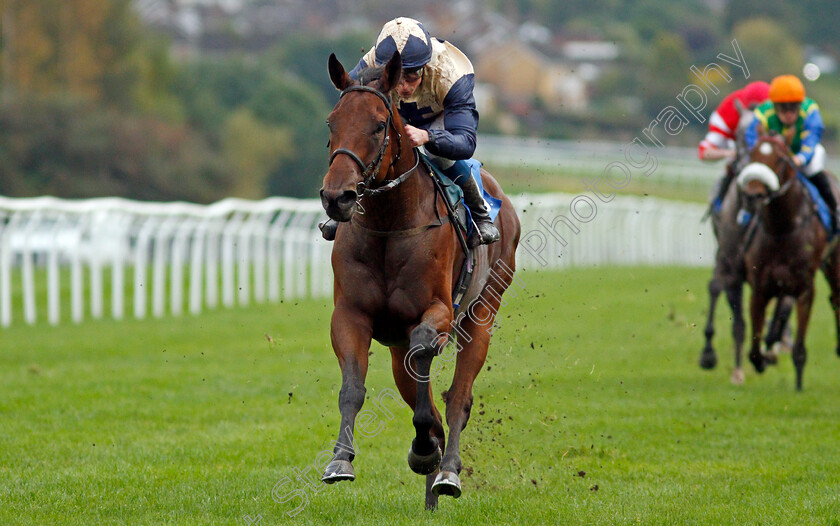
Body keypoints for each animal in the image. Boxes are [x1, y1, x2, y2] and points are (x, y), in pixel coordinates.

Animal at [318, 51, 520, 510]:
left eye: (379, 124)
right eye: (332, 123)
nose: (336, 197)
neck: (390, 224)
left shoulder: (438, 311)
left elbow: (427, 363)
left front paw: (427, 450)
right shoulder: (351, 315)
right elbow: (352, 387)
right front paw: (340, 460)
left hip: (483, 314)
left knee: (458, 398)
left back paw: (446, 471)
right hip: (395, 348)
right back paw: (430, 486)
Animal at [736, 133, 840, 392]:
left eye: (781, 159)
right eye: (751, 155)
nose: (752, 196)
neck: (781, 228)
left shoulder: (805, 289)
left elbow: (800, 348)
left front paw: (799, 385)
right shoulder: (760, 288)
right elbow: (754, 350)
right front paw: (765, 358)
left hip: (833, 265)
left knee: (836, 298)